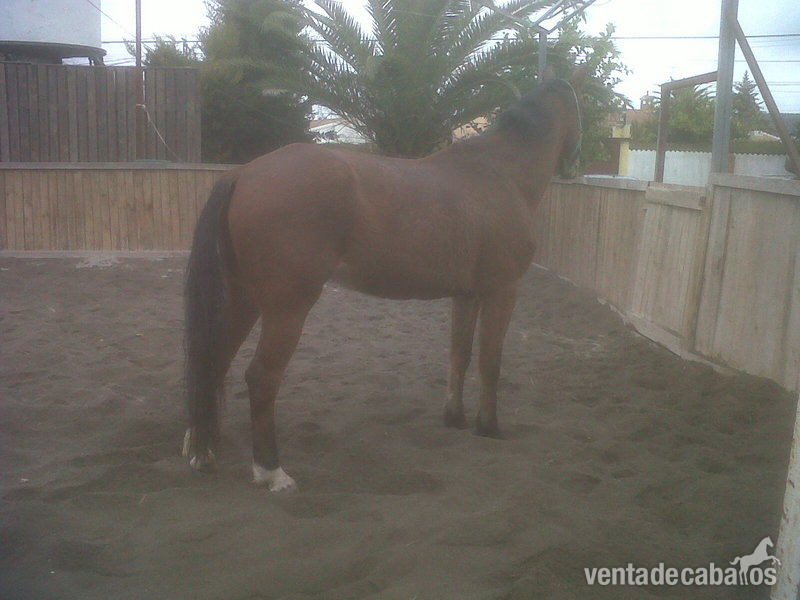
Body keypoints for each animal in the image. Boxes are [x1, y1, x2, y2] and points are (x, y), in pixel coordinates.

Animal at [182, 68, 587, 491]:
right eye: (581, 107)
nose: (575, 164)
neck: (500, 174)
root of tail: (243, 173)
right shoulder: (502, 290)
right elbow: (490, 361)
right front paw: (488, 427)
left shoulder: (467, 295)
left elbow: (459, 356)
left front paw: (455, 418)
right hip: (286, 308)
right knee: (261, 378)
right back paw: (270, 471)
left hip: (242, 299)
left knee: (214, 360)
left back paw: (202, 451)